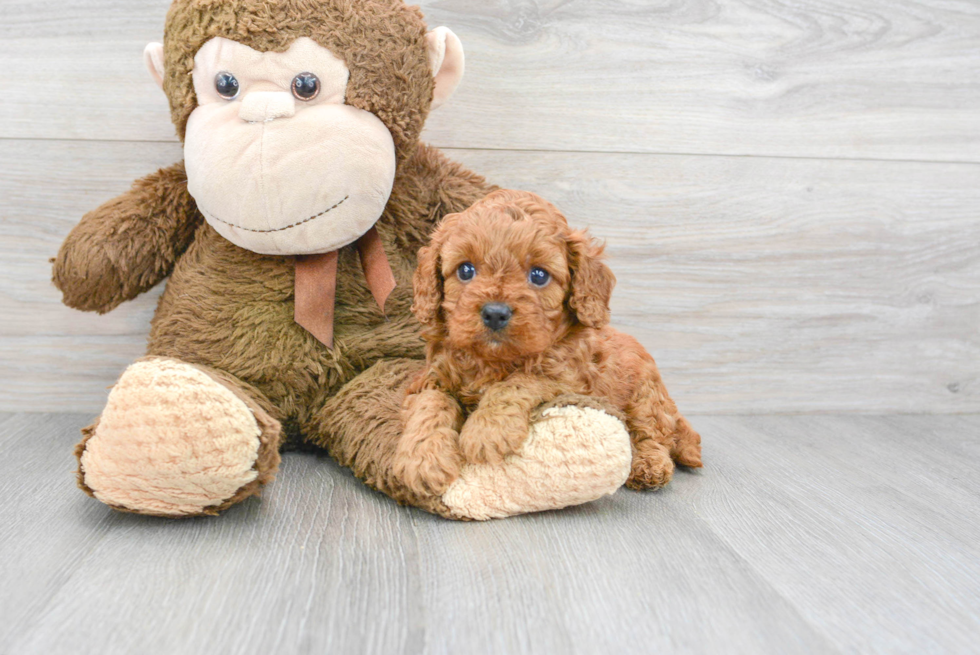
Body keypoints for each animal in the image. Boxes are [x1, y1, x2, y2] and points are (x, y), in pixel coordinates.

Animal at [394, 190, 700, 498]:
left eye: (539, 275)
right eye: (466, 270)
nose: (495, 313)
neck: (493, 360)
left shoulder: (569, 379)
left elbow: (519, 382)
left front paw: (487, 430)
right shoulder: (431, 378)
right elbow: (430, 404)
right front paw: (423, 460)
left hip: (645, 396)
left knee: (652, 434)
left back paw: (649, 466)